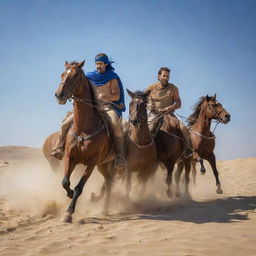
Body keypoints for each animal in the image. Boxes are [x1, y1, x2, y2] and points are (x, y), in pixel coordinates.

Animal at [55, 60, 117, 222]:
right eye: (62, 74)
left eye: (76, 75)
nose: (59, 94)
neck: (84, 128)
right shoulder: (69, 158)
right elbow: (65, 182)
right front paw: (69, 194)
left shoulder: (91, 163)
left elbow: (79, 188)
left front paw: (68, 213)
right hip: (103, 165)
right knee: (108, 180)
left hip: (107, 163)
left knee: (110, 182)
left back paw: (105, 208)